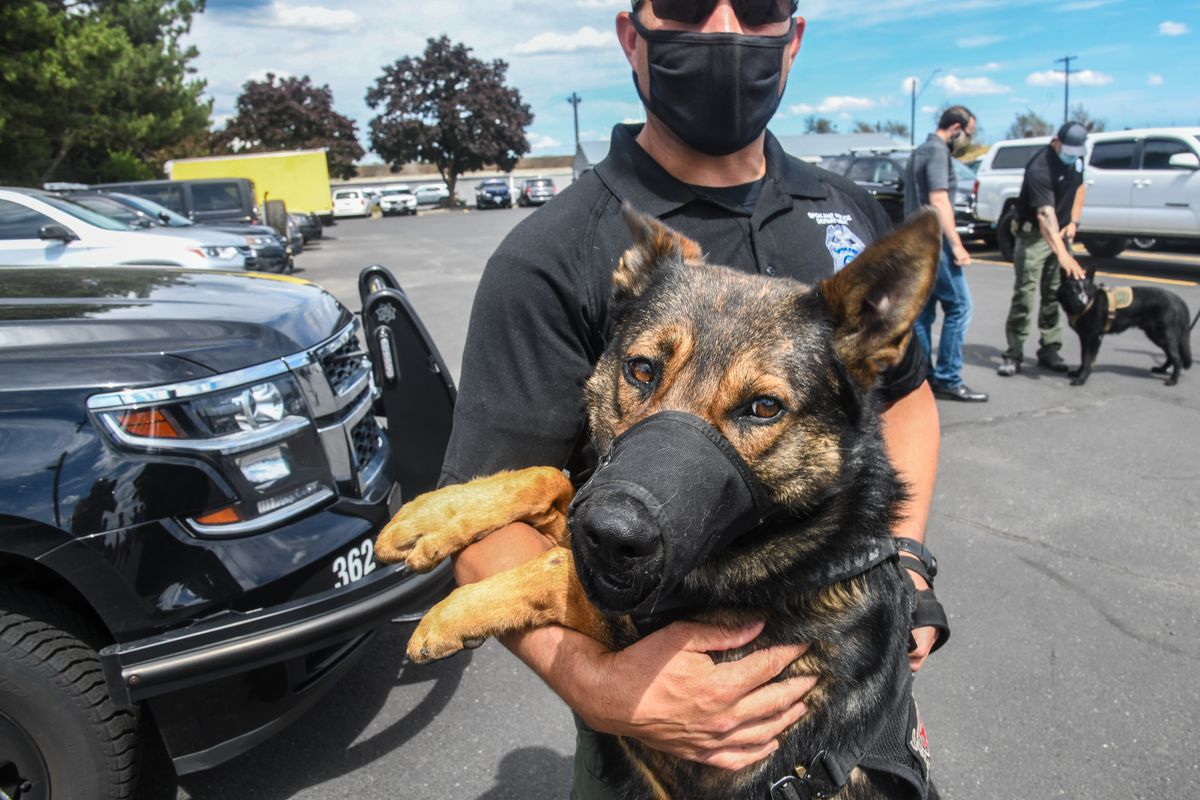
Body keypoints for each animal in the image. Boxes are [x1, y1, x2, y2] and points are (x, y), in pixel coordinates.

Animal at [379, 208, 940, 800]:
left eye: (764, 408)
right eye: (642, 370)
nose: (612, 532)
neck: (813, 552)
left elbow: (559, 568)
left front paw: (449, 614)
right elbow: (549, 480)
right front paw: (428, 519)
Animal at [1060, 271, 1190, 386]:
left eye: (1086, 290)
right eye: (1073, 290)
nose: (1082, 303)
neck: (1092, 301)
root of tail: (1177, 299)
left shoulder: (1094, 338)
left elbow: (1088, 360)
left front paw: (1081, 379)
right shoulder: (1084, 337)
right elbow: (1083, 357)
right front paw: (1078, 373)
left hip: (1162, 335)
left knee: (1177, 358)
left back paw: (1173, 380)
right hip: (1156, 336)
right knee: (1171, 356)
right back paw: (1162, 370)